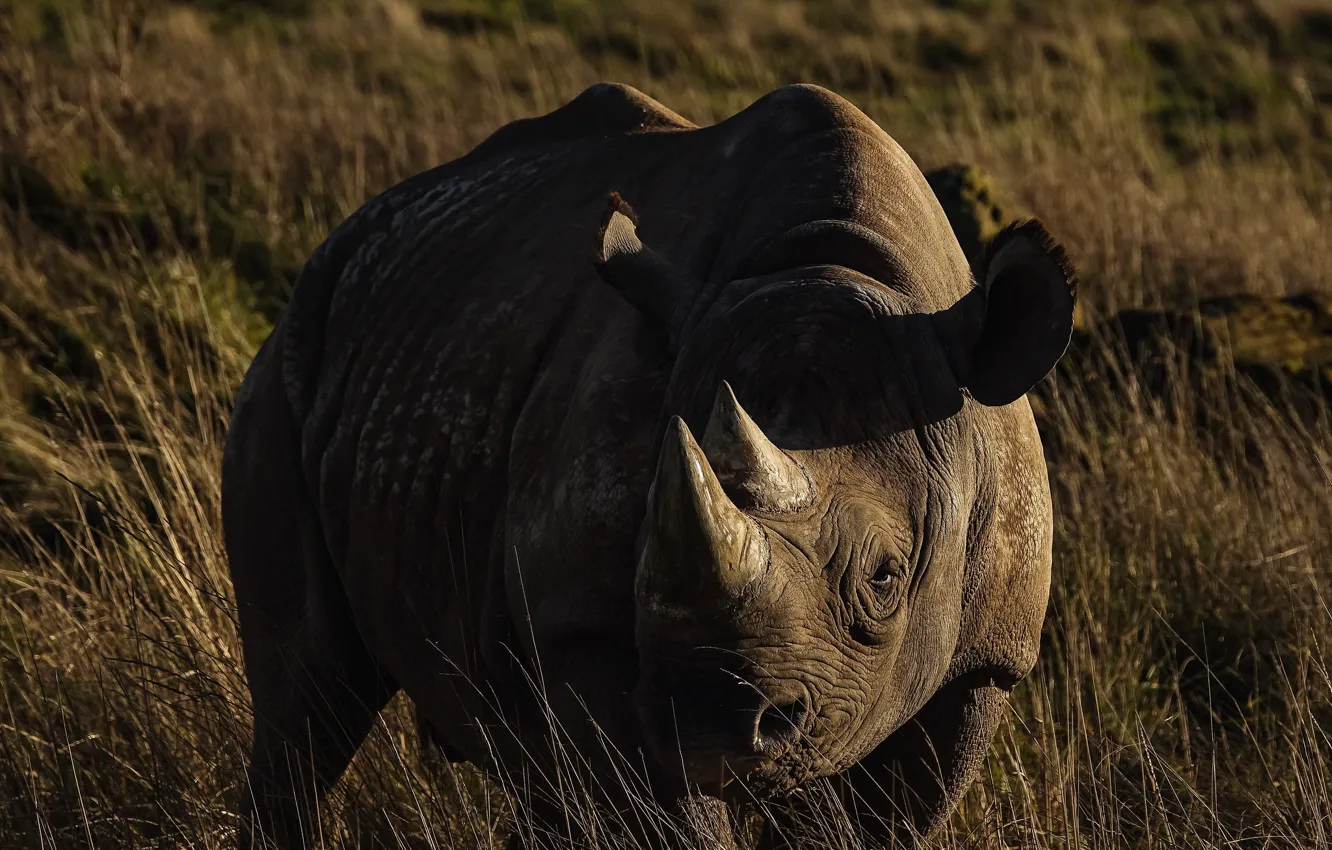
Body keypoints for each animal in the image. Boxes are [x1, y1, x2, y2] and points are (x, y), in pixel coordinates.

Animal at [222, 82, 1075, 848]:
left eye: (886, 576)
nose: (710, 725)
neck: (833, 262)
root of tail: (347, 237)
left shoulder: (985, 661)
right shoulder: (583, 627)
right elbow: (657, 815)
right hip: (292, 361)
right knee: (308, 697)